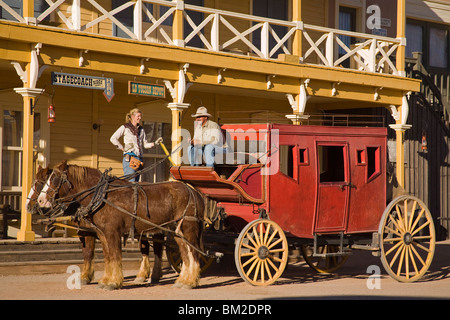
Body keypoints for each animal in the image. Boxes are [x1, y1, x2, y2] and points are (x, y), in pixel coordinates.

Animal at [37, 161, 205, 288]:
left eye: (54, 179)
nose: (40, 200)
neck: (103, 196)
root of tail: (193, 191)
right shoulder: (102, 233)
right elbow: (108, 256)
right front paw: (106, 279)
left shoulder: (112, 232)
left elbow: (115, 255)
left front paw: (114, 282)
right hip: (177, 231)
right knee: (185, 253)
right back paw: (183, 280)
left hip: (188, 228)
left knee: (194, 253)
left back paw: (191, 281)